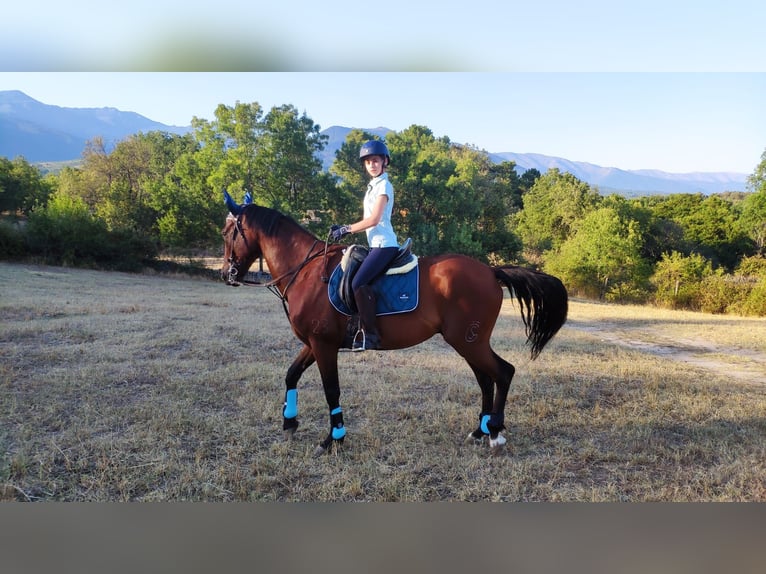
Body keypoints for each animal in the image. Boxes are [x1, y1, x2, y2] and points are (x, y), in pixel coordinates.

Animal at [219, 196, 568, 456]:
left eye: (226, 233)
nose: (227, 274)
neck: (306, 270)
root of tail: (490, 271)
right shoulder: (312, 343)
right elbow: (291, 374)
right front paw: (290, 423)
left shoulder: (323, 345)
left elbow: (331, 389)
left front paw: (333, 439)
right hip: (468, 342)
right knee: (486, 379)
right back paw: (479, 431)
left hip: (469, 341)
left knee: (503, 373)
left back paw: (495, 432)